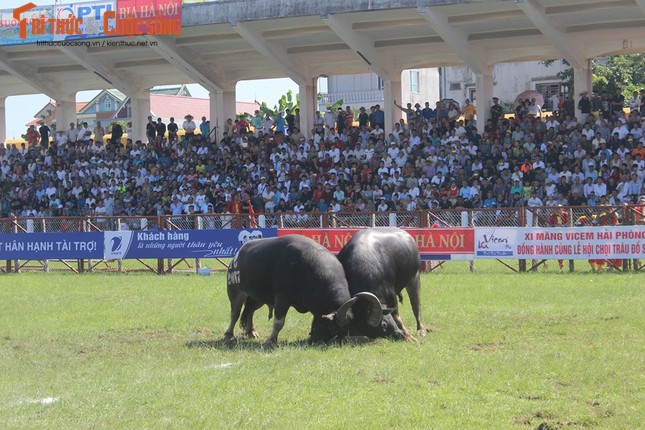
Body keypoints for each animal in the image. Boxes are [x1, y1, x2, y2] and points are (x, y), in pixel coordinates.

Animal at [225, 233, 382, 348]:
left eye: (342, 332)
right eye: (333, 328)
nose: (317, 341)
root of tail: (237, 256)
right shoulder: (282, 299)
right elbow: (279, 322)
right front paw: (271, 341)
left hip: (257, 298)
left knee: (250, 310)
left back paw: (251, 332)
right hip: (235, 291)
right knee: (234, 313)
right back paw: (228, 335)